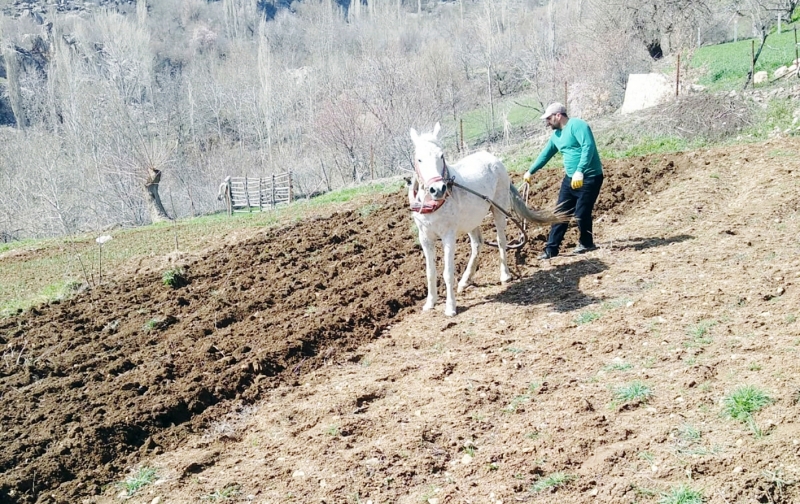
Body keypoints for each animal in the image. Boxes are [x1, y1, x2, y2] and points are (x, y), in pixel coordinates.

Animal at [410, 122, 564, 316]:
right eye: (419, 159)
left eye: (441, 155)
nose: (438, 189)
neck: (432, 204)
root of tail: (494, 159)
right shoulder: (425, 237)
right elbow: (430, 272)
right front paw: (430, 303)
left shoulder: (448, 236)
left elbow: (447, 272)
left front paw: (450, 307)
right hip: (472, 220)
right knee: (477, 244)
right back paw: (465, 281)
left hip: (498, 210)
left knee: (501, 241)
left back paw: (505, 274)